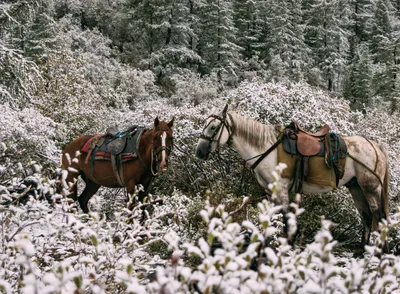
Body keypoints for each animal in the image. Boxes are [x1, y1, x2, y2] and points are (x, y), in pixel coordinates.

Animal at [195, 104, 390, 252]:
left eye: (213, 127)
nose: (199, 152)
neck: (266, 148)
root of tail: (375, 146)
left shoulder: (281, 190)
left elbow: (286, 220)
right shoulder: (269, 191)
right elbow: (272, 219)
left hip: (370, 188)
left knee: (378, 216)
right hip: (356, 188)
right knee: (366, 216)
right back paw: (362, 251)